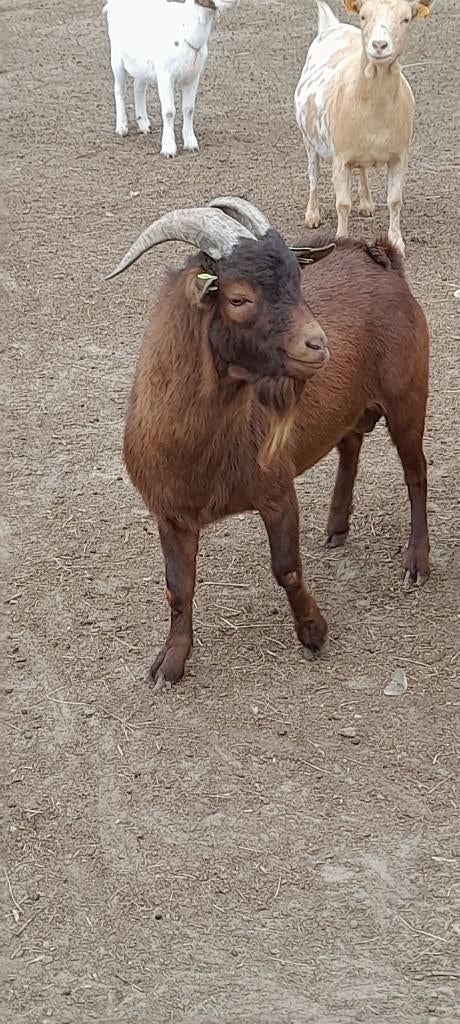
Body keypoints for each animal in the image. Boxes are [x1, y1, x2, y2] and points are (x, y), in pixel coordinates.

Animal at [104, 0, 239, 157]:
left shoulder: (193, 76)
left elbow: (189, 109)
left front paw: (191, 143)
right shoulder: (165, 76)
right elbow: (169, 112)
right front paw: (168, 148)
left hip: (142, 65)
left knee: (138, 87)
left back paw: (143, 125)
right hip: (117, 59)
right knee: (119, 90)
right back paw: (122, 127)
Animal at [106, 197, 430, 688]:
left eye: (298, 283)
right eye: (238, 298)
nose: (318, 345)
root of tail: (383, 258)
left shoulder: (277, 492)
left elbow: (286, 569)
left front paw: (313, 633)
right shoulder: (169, 513)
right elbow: (177, 589)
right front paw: (170, 664)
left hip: (408, 395)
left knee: (416, 473)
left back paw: (416, 563)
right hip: (352, 406)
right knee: (350, 445)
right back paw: (337, 525)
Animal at [294, 0, 431, 255]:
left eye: (406, 19)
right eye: (363, 16)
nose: (379, 45)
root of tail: (333, 26)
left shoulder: (399, 157)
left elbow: (394, 200)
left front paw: (397, 242)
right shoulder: (340, 159)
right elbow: (342, 204)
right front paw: (341, 239)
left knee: (362, 170)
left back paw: (367, 203)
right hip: (309, 140)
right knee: (313, 175)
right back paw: (312, 215)